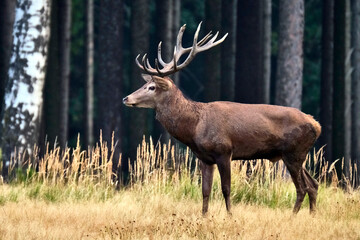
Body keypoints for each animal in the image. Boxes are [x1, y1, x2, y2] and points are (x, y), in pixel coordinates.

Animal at [123, 22, 320, 216]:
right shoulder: (204, 157)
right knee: (314, 185)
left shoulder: (224, 151)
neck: (195, 127)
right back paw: (311, 215)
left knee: (302, 188)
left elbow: (226, 188)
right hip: (297, 155)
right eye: (146, 84)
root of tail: (317, 125)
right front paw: (203, 216)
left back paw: (293, 216)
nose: (126, 98)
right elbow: (205, 190)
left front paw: (230, 215)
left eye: (152, 87)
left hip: (294, 152)